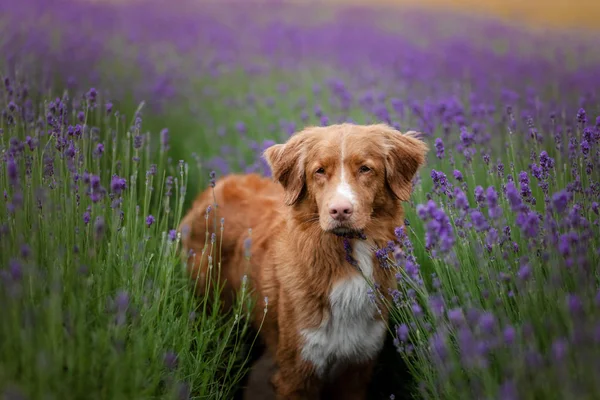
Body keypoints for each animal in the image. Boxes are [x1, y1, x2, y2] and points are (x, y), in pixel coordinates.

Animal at [180, 123, 428, 398]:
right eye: (319, 171)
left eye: (365, 168)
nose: (340, 211)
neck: (346, 257)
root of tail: (216, 185)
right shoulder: (298, 370)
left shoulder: (357, 367)